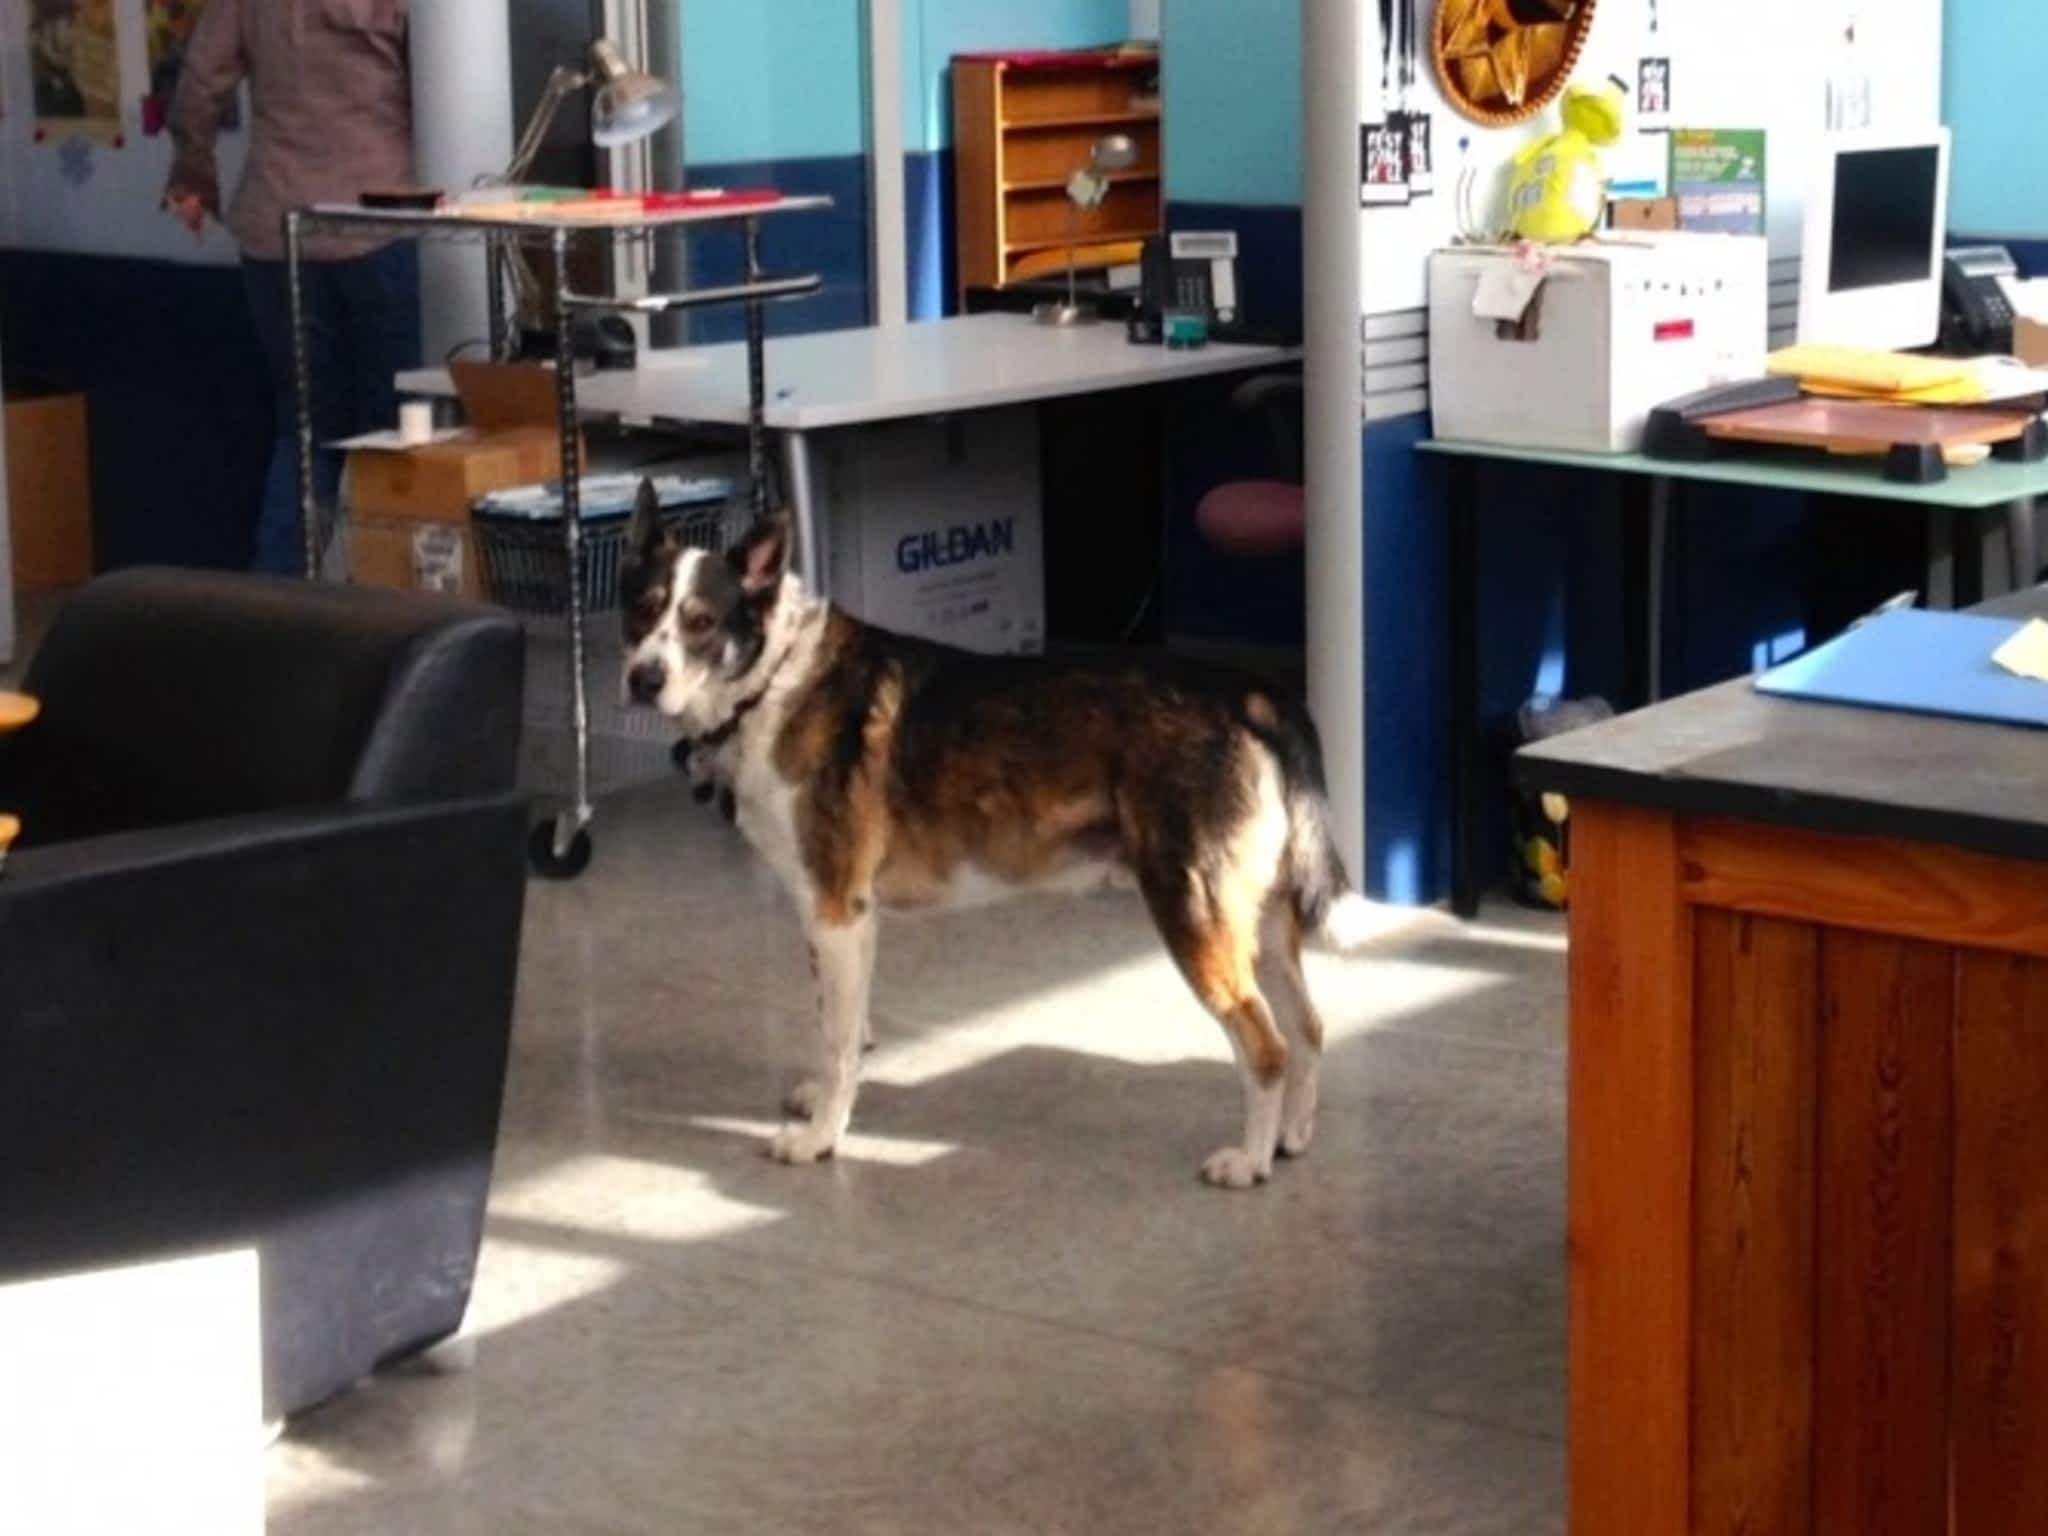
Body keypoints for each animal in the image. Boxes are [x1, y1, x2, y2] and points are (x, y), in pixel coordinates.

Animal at [614, 489, 1384, 1187]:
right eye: (642, 611)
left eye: (701, 622)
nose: (643, 679)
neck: (773, 679)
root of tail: (1252, 697)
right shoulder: (839, 922)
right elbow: (844, 1026)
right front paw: (824, 1103)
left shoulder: (836, 913)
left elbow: (837, 1040)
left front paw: (821, 1138)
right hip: (1262, 919)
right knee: (1309, 1028)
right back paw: (1290, 1137)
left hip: (1192, 910)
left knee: (1266, 1044)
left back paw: (1249, 1162)